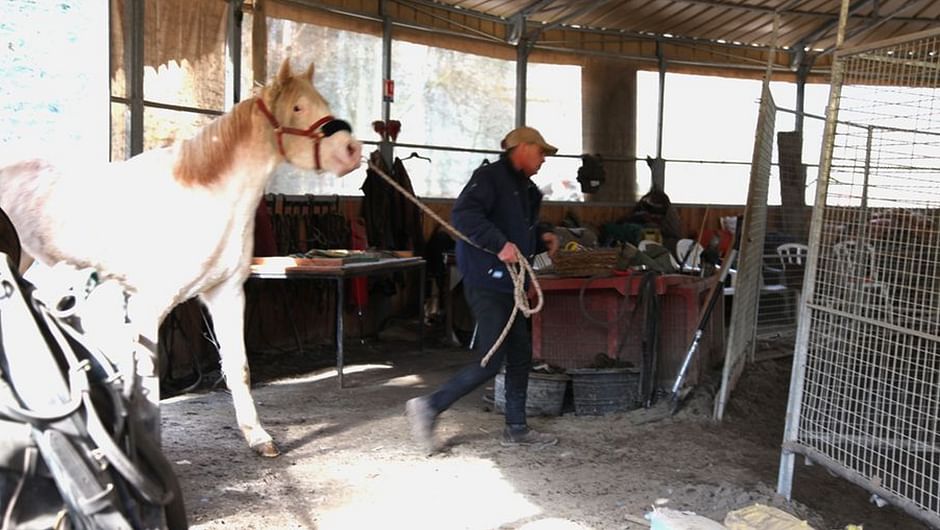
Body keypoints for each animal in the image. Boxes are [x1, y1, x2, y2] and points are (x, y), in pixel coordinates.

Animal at [0, 56, 364, 454]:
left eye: (324, 103)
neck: (207, 195)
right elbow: (147, 380)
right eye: (298, 107)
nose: (351, 151)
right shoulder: (148, 306)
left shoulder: (227, 294)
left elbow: (239, 366)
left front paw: (258, 437)